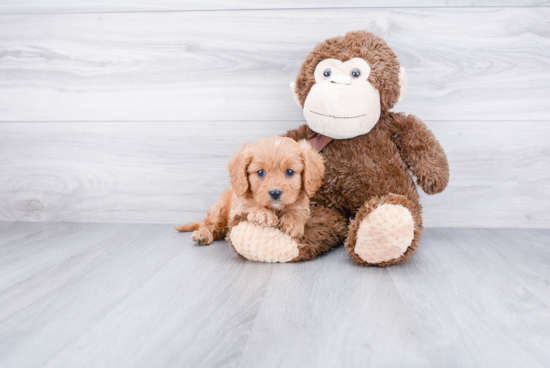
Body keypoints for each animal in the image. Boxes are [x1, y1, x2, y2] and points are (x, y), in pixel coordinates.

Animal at [175, 137, 326, 246]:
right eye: (260, 172)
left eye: (289, 172)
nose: (275, 193)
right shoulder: (237, 208)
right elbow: (251, 206)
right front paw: (264, 214)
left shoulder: (303, 207)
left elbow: (296, 213)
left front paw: (292, 223)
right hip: (219, 210)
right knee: (208, 224)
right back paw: (202, 235)